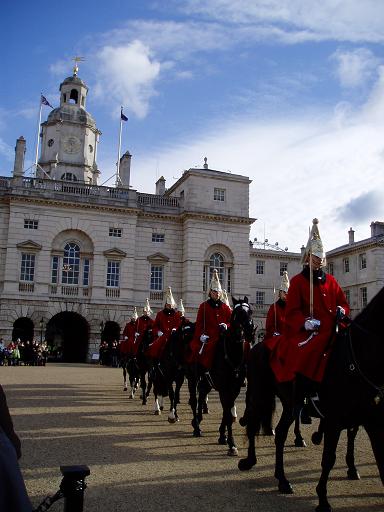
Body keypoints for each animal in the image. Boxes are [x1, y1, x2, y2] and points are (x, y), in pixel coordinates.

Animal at [187, 296, 255, 456]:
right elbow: (228, 413)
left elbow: (227, 411)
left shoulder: (234, 388)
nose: (250, 332)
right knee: (194, 400)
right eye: (237, 313)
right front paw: (232, 444)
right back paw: (196, 428)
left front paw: (222, 436)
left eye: (250, 311)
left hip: (206, 382)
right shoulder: (224, 388)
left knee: (201, 396)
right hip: (193, 378)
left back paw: (198, 420)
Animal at [237, 286, 384, 510]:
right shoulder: (334, 420)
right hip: (261, 395)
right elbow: (329, 458)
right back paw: (250, 460)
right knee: (253, 423)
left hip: (289, 403)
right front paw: (323, 499)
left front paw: (351, 468)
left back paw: (283, 479)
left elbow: (368, 449)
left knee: (280, 433)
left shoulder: (366, 418)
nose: (250, 329)